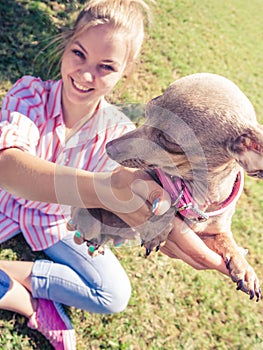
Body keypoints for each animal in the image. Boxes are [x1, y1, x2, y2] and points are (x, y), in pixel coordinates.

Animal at [68, 73, 263, 300]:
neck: (196, 196)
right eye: (148, 110)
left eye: (168, 140)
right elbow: (169, 198)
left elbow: (227, 240)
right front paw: (159, 228)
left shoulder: (213, 232)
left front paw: (245, 269)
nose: (109, 147)